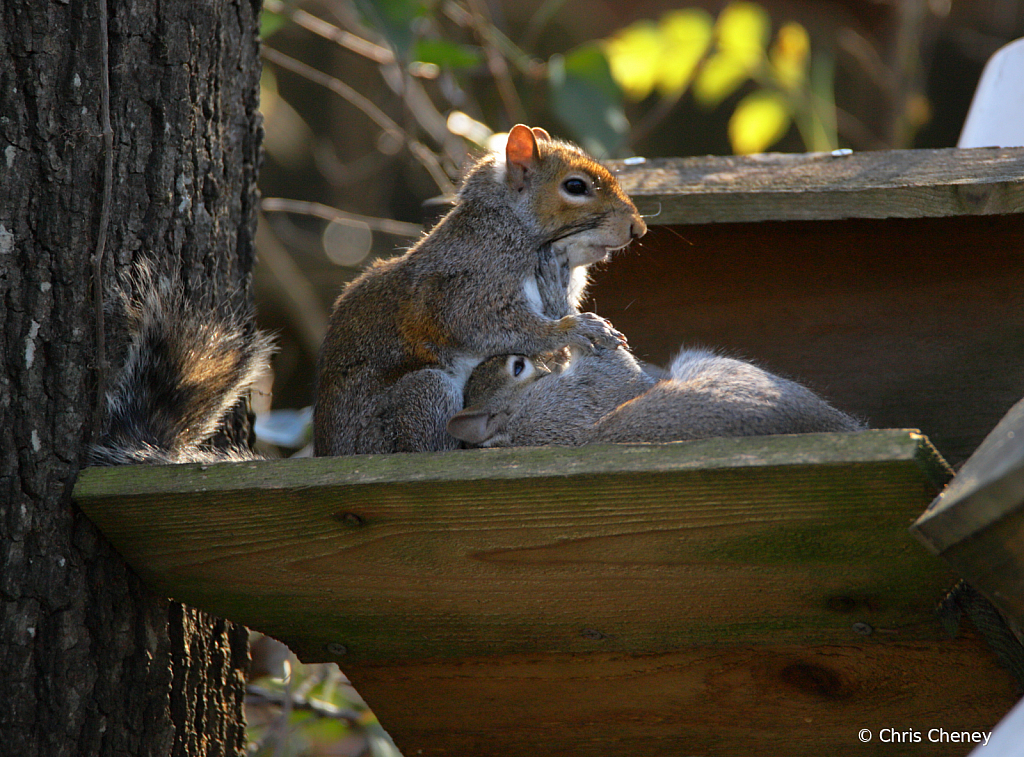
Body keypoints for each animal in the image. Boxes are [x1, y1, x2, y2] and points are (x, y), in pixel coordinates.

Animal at [315, 124, 643, 456]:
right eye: (575, 186)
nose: (637, 229)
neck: (508, 224)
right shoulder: (470, 284)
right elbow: (485, 325)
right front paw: (575, 328)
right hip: (423, 396)